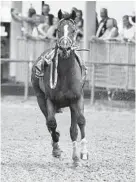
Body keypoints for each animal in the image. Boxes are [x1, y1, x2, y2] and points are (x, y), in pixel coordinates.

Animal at [31, 9, 88, 165]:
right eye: (58, 30)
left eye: (74, 30)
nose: (64, 48)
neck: (65, 75)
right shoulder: (50, 100)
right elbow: (51, 123)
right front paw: (56, 148)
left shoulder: (77, 99)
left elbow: (79, 124)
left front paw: (80, 155)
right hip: (40, 99)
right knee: (48, 122)